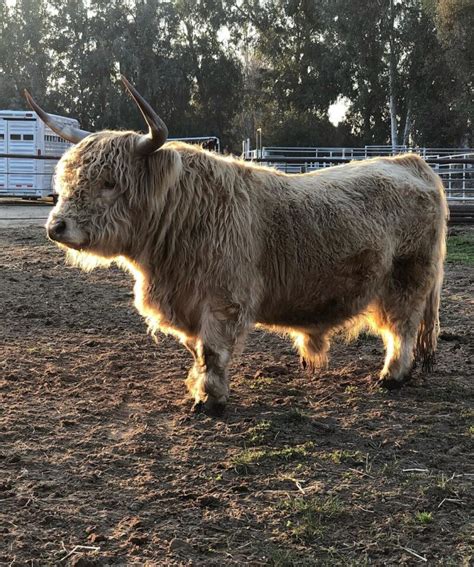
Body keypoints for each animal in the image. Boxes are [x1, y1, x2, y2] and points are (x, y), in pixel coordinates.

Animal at [25, 76, 448, 412]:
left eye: (110, 182)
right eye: (67, 177)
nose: (56, 226)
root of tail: (409, 161)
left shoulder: (223, 300)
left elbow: (213, 352)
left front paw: (210, 400)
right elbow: (198, 350)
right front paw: (201, 390)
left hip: (408, 278)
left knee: (402, 328)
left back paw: (392, 377)